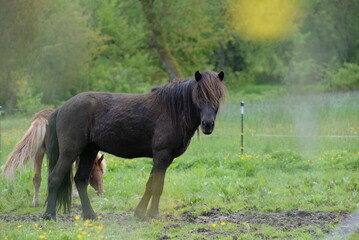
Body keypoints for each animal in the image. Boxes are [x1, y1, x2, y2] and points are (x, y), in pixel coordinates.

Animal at [43, 70, 226, 220]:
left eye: (217, 96)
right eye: (199, 96)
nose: (207, 125)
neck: (173, 110)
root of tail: (61, 108)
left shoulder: (166, 158)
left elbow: (150, 184)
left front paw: (140, 212)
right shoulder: (162, 154)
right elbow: (158, 186)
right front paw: (153, 214)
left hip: (89, 152)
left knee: (80, 180)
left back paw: (90, 215)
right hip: (70, 152)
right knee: (54, 178)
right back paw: (49, 215)